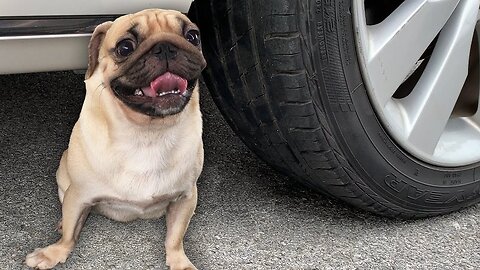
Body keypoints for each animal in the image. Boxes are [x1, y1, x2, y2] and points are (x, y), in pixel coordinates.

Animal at [25, 8, 206, 270]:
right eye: (125, 47)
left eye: (193, 37)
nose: (165, 47)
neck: (146, 132)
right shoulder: (78, 195)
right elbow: (69, 233)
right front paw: (54, 252)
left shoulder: (186, 197)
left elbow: (175, 238)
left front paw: (180, 261)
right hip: (64, 179)